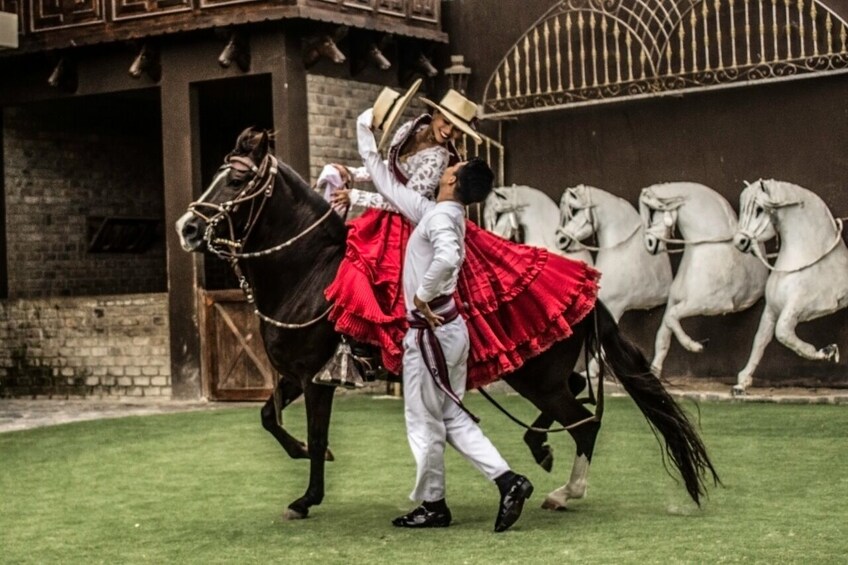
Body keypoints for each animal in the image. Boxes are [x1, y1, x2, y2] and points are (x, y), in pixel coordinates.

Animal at [176, 129, 720, 520]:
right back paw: (541, 451)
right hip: (542, 372)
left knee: (584, 421)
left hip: (535, 376)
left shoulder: (318, 378)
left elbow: (312, 432)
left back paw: (564, 491)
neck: (308, 270)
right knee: (580, 398)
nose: (188, 227)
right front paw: (309, 454)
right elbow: (268, 417)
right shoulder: (293, 375)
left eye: (237, 181)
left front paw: (307, 496)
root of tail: (588, 293)